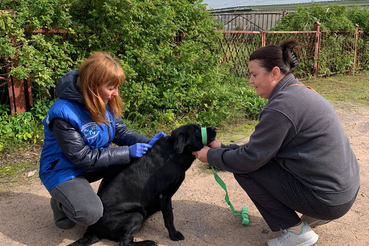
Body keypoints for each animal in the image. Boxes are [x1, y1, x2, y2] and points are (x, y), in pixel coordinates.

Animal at [68, 124, 216, 246]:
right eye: (196, 130)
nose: (215, 128)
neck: (174, 154)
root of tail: (91, 230)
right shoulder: (164, 195)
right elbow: (169, 218)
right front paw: (174, 235)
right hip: (136, 215)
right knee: (124, 243)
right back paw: (148, 242)